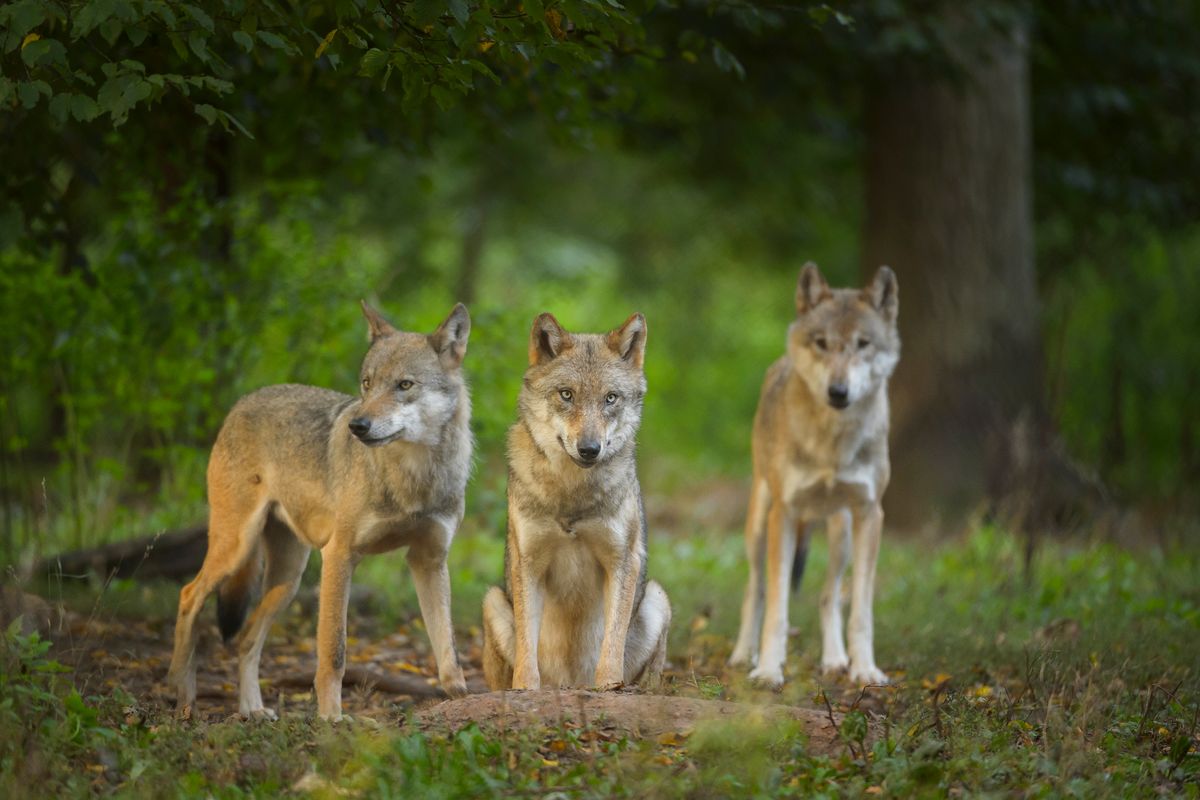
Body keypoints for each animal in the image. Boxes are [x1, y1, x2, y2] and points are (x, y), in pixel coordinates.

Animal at [167, 301, 472, 721]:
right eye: (366, 384)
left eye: (405, 385)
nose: (358, 425)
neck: (413, 478)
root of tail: (243, 401)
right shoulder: (340, 555)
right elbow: (334, 653)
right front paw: (331, 717)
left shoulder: (429, 559)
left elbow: (449, 652)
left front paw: (463, 701)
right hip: (236, 549)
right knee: (188, 596)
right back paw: (184, 698)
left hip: (288, 580)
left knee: (246, 638)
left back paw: (252, 710)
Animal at [481, 312, 671, 691]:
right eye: (566, 395)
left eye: (610, 398)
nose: (589, 449)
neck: (571, 493)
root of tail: (569, 683)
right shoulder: (528, 562)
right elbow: (527, 646)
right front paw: (525, 689)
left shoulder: (621, 559)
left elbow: (611, 641)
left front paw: (609, 687)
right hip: (492, 600)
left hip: (658, 598)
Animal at [728, 263, 899, 689]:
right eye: (822, 343)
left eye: (863, 343)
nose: (838, 391)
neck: (831, 445)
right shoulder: (784, 514)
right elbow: (777, 608)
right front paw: (768, 670)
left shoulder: (871, 514)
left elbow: (861, 611)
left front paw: (865, 669)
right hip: (759, 526)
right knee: (755, 590)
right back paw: (742, 655)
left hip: (842, 534)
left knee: (828, 596)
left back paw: (835, 660)